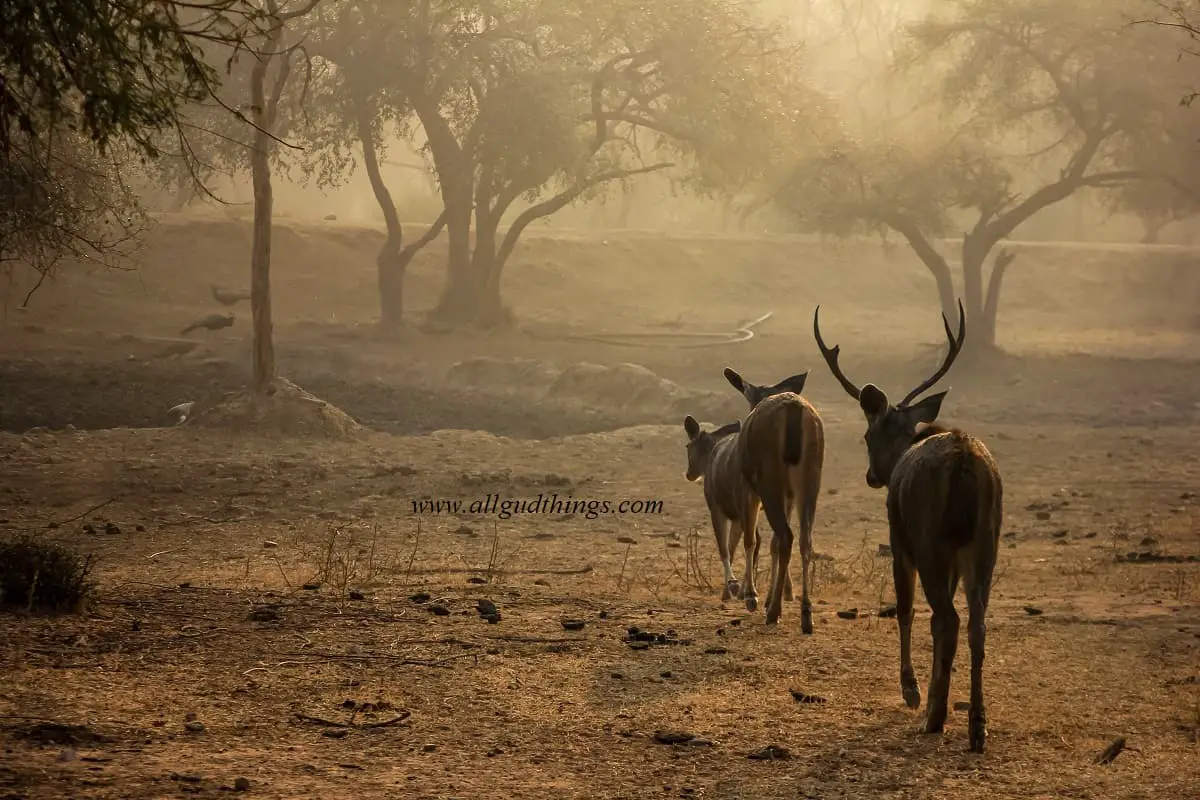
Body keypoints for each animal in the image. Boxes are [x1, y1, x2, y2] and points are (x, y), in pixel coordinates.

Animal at [816, 302, 1003, 758]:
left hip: (930, 539)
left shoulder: (899, 538)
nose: (871, 476)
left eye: (867, 435)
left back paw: (935, 717)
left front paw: (913, 692)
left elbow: (904, 609)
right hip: (984, 543)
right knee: (975, 622)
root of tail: (963, 463)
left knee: (947, 618)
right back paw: (977, 726)